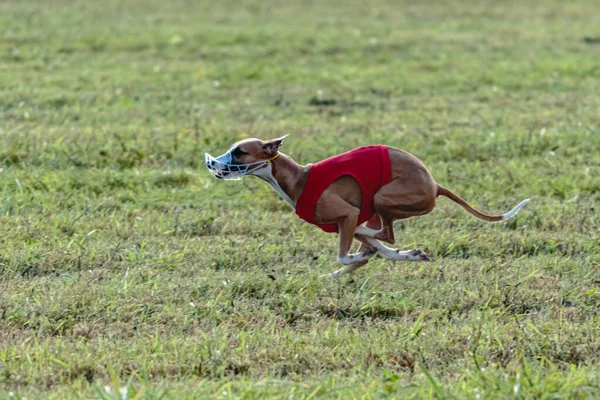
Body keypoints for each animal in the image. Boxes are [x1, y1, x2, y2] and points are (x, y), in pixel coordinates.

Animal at [206, 136, 528, 276]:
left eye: (239, 151)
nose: (212, 164)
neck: (298, 178)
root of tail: (435, 185)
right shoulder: (346, 221)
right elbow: (370, 252)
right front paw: (407, 255)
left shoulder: (346, 215)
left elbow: (345, 255)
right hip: (378, 207)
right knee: (379, 239)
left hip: (380, 198)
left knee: (384, 234)